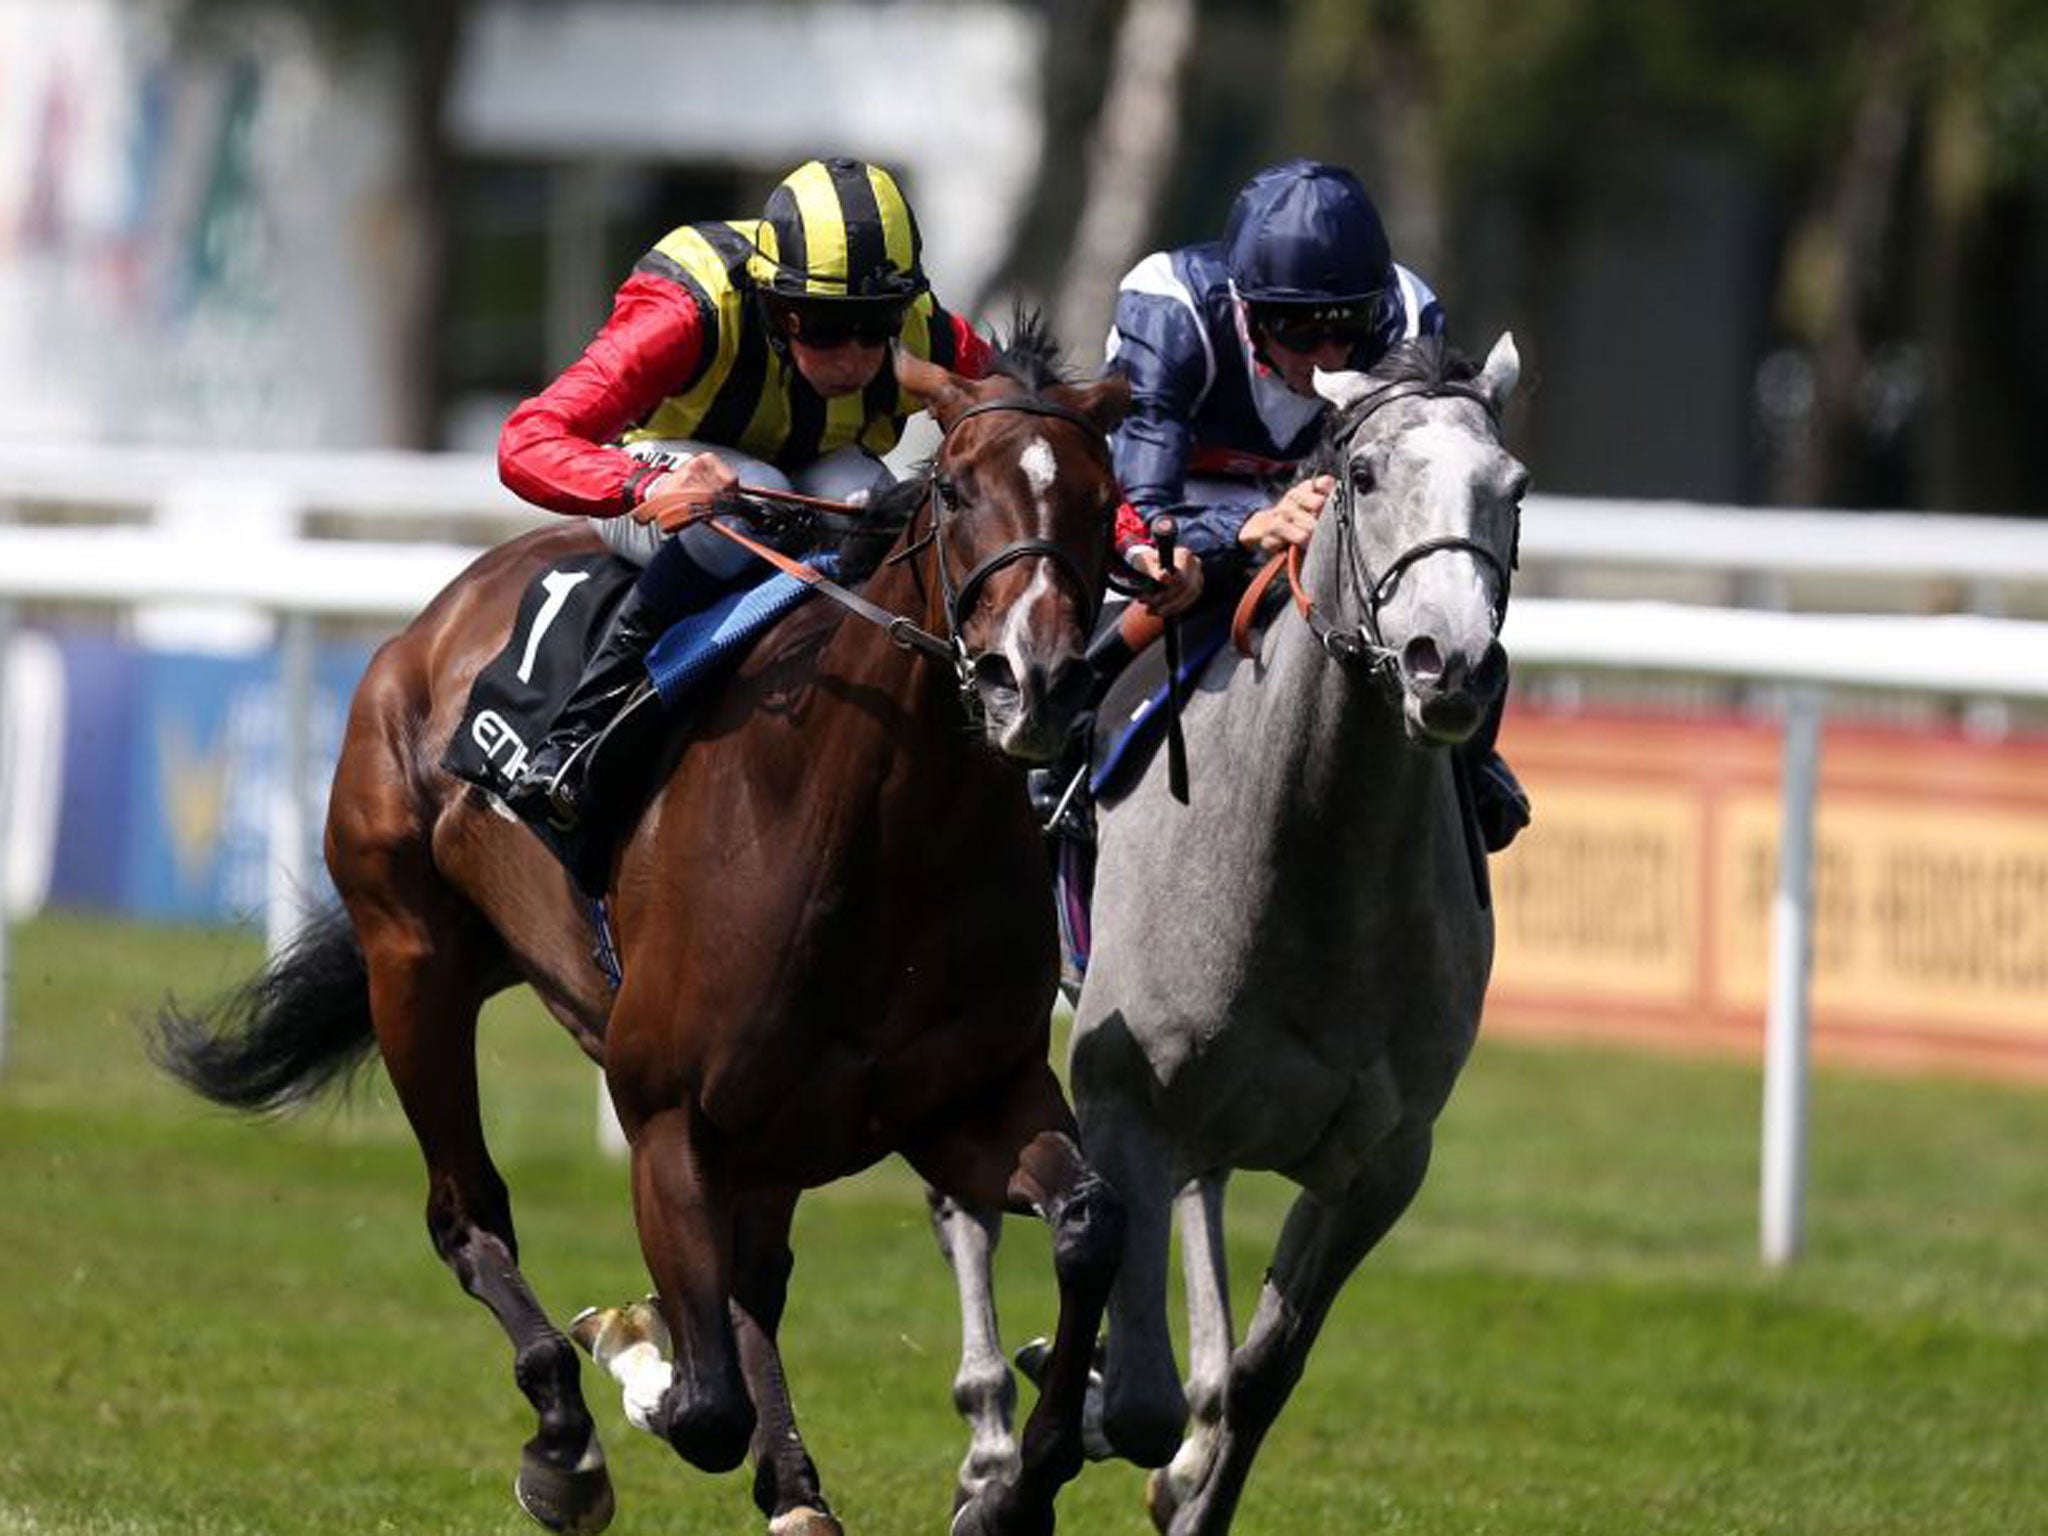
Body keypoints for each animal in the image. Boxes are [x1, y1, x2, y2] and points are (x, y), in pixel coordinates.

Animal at [151, 327, 1130, 1536]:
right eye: (953, 488)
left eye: (1105, 499)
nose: (1031, 684)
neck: (880, 836)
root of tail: (435, 620)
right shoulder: (669, 1116)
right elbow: (699, 1399)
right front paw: (634, 1361)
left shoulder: (965, 1102)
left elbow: (1089, 1220)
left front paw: (1019, 1483)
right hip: (412, 962)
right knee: (468, 1214)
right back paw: (566, 1442)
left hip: (765, 1121)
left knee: (754, 1280)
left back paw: (791, 1485)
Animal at [929, 331, 1523, 1531]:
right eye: (1363, 476)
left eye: (1515, 489)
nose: (1448, 664)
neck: (1317, 872)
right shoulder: (1125, 1105)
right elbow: (1139, 1395)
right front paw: (1046, 1441)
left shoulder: (1383, 1163)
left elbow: (1258, 1377)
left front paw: (1191, 1478)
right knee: (962, 1194)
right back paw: (988, 1435)